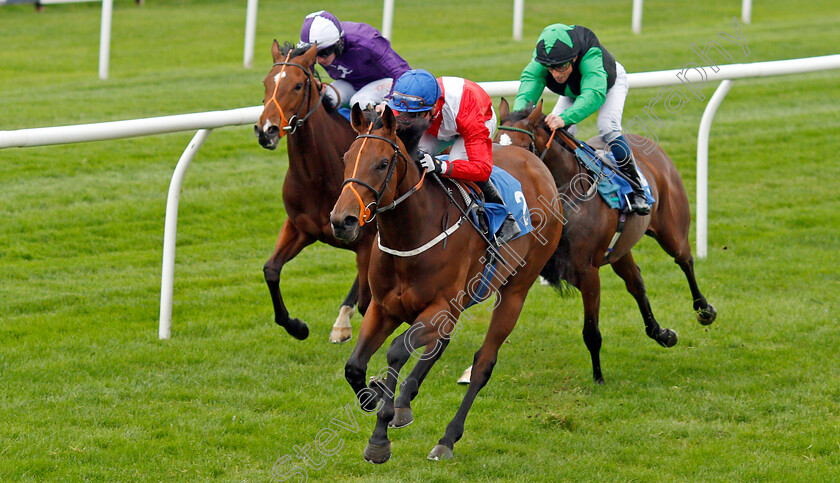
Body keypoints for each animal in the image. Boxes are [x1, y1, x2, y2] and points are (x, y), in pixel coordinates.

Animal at [254, 42, 376, 344]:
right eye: (266, 82)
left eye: (298, 85)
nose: (266, 130)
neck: (319, 175)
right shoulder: (300, 227)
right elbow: (271, 270)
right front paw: (297, 327)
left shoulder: (367, 242)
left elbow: (370, 301)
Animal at [330, 104, 564, 464]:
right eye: (346, 157)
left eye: (382, 163)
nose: (342, 220)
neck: (412, 232)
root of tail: (536, 163)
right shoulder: (384, 308)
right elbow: (354, 366)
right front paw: (374, 396)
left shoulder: (439, 308)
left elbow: (397, 351)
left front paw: (379, 438)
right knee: (441, 344)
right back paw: (405, 402)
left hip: (515, 290)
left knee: (483, 363)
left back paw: (447, 438)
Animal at [496, 99, 720, 386]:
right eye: (493, 145)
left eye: (524, 149)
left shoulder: (587, 270)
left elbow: (591, 331)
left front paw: (598, 378)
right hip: (620, 249)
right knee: (636, 283)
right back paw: (662, 333)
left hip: (672, 230)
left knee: (685, 261)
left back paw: (704, 310)